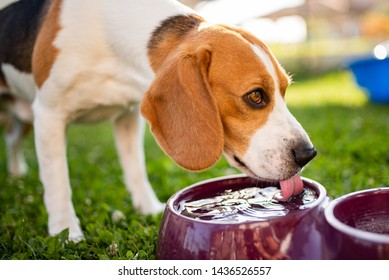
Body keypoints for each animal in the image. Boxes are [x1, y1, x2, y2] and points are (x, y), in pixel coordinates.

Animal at [0, 0, 316, 242]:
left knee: (13, 140)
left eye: (284, 90)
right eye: (255, 96)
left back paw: (16, 173)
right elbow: (57, 182)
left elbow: (136, 169)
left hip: (23, 117)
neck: (111, 42)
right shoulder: (49, 113)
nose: (307, 154)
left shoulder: (127, 115)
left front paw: (148, 208)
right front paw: (66, 232)